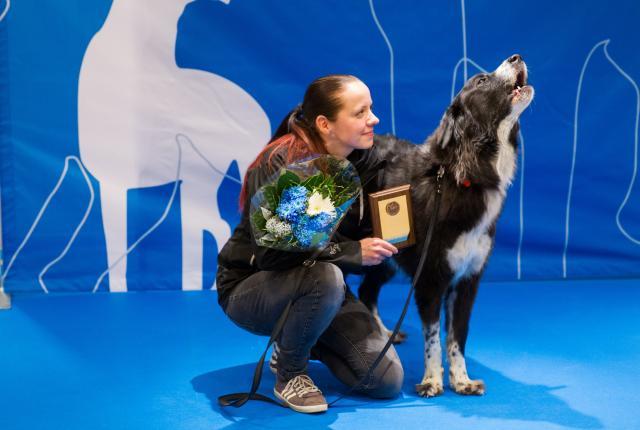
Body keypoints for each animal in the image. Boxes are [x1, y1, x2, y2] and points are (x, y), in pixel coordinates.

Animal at [360, 53, 536, 396]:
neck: (465, 176)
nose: (517, 56)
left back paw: (384, 333)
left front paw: (461, 379)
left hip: (387, 257)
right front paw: (432, 380)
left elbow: (457, 336)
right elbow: (433, 338)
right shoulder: (430, 279)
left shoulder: (468, 281)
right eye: (481, 80)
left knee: (366, 290)